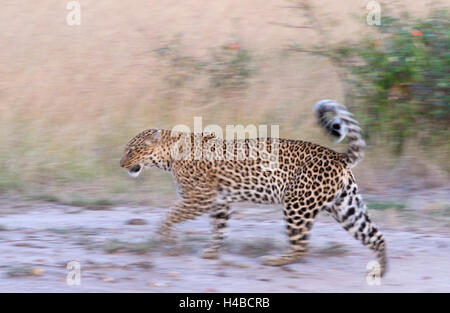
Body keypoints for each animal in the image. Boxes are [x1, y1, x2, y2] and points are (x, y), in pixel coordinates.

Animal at [119, 100, 386, 276]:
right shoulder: (219, 202)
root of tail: (337, 156)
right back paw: (382, 270)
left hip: (298, 205)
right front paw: (211, 253)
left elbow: (169, 215)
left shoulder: (199, 199)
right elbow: (219, 229)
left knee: (301, 246)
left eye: (131, 151)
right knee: (376, 237)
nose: (121, 164)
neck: (169, 155)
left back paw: (275, 261)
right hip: (345, 206)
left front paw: (166, 236)